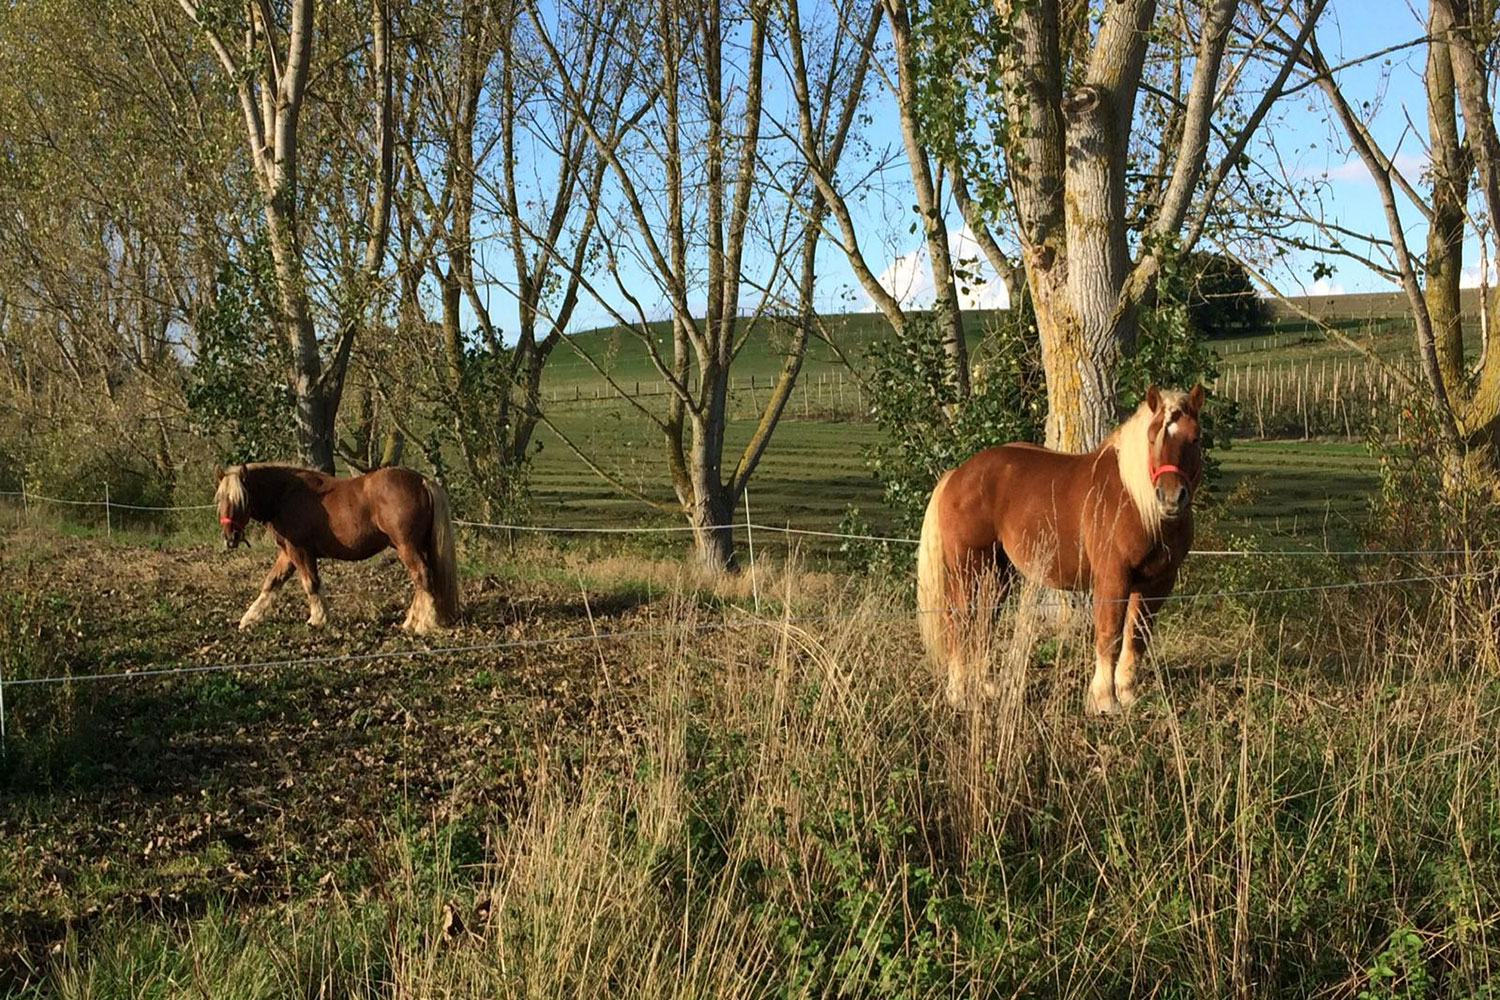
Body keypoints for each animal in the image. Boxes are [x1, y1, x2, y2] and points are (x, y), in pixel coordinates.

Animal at [213, 464, 456, 632]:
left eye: (241, 499)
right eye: (221, 499)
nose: (230, 538)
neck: (286, 495)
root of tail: (422, 481)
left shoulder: (300, 551)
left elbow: (311, 583)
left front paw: (318, 619)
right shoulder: (288, 553)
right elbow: (272, 582)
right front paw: (250, 618)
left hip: (407, 547)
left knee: (422, 576)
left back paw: (424, 624)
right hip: (416, 547)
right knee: (422, 580)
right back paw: (412, 621)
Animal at [912, 386, 1206, 716]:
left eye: (1195, 438)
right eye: (1153, 438)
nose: (1170, 498)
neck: (1137, 503)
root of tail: (957, 473)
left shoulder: (1157, 583)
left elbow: (1137, 637)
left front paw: (1127, 695)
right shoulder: (1112, 578)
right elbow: (1109, 636)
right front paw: (1104, 701)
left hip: (997, 572)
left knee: (984, 622)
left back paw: (987, 687)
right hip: (968, 568)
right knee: (961, 622)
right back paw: (959, 694)